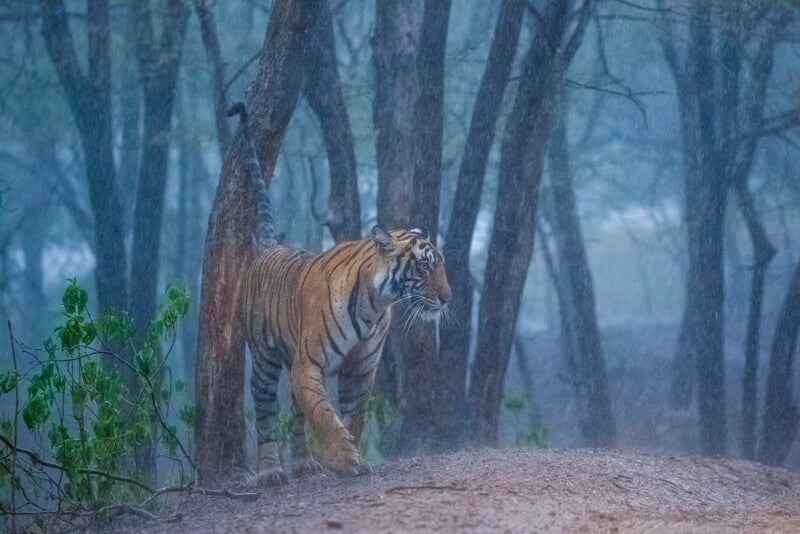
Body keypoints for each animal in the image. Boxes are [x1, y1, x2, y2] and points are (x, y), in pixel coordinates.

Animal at [231, 102, 454, 488]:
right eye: (426, 267)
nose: (447, 298)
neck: (376, 304)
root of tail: (270, 246)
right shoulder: (310, 363)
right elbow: (323, 413)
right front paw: (343, 459)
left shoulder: (360, 368)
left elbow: (354, 414)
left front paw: (350, 454)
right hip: (264, 360)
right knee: (266, 414)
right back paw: (271, 471)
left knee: (296, 413)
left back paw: (304, 463)